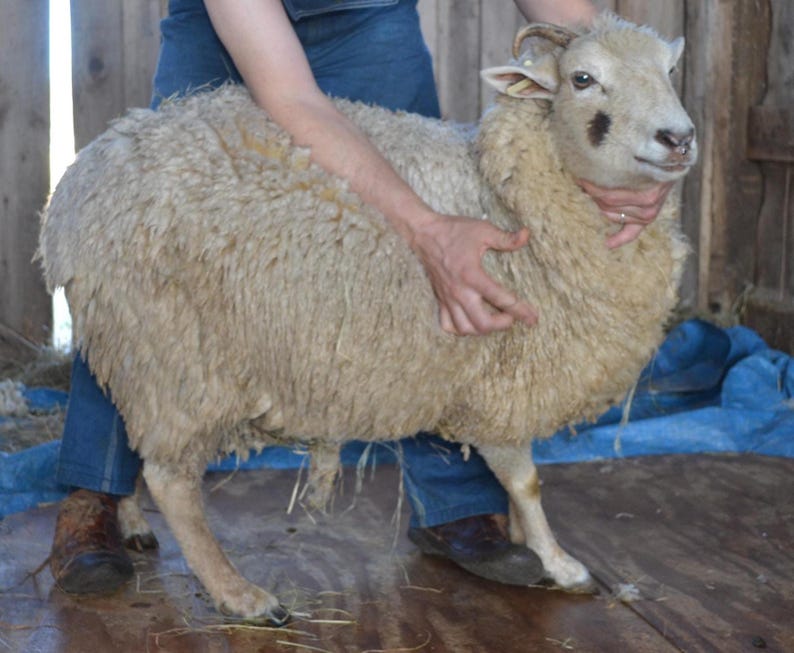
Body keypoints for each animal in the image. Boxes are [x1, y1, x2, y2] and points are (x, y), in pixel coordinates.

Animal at [38, 13, 697, 625]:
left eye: (670, 71)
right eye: (583, 79)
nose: (679, 137)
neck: (501, 194)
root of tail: (79, 181)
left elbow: (517, 484)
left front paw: (517, 542)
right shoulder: (497, 379)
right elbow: (525, 480)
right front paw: (558, 562)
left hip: (135, 345)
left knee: (127, 433)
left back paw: (132, 522)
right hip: (174, 348)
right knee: (171, 477)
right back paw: (240, 595)